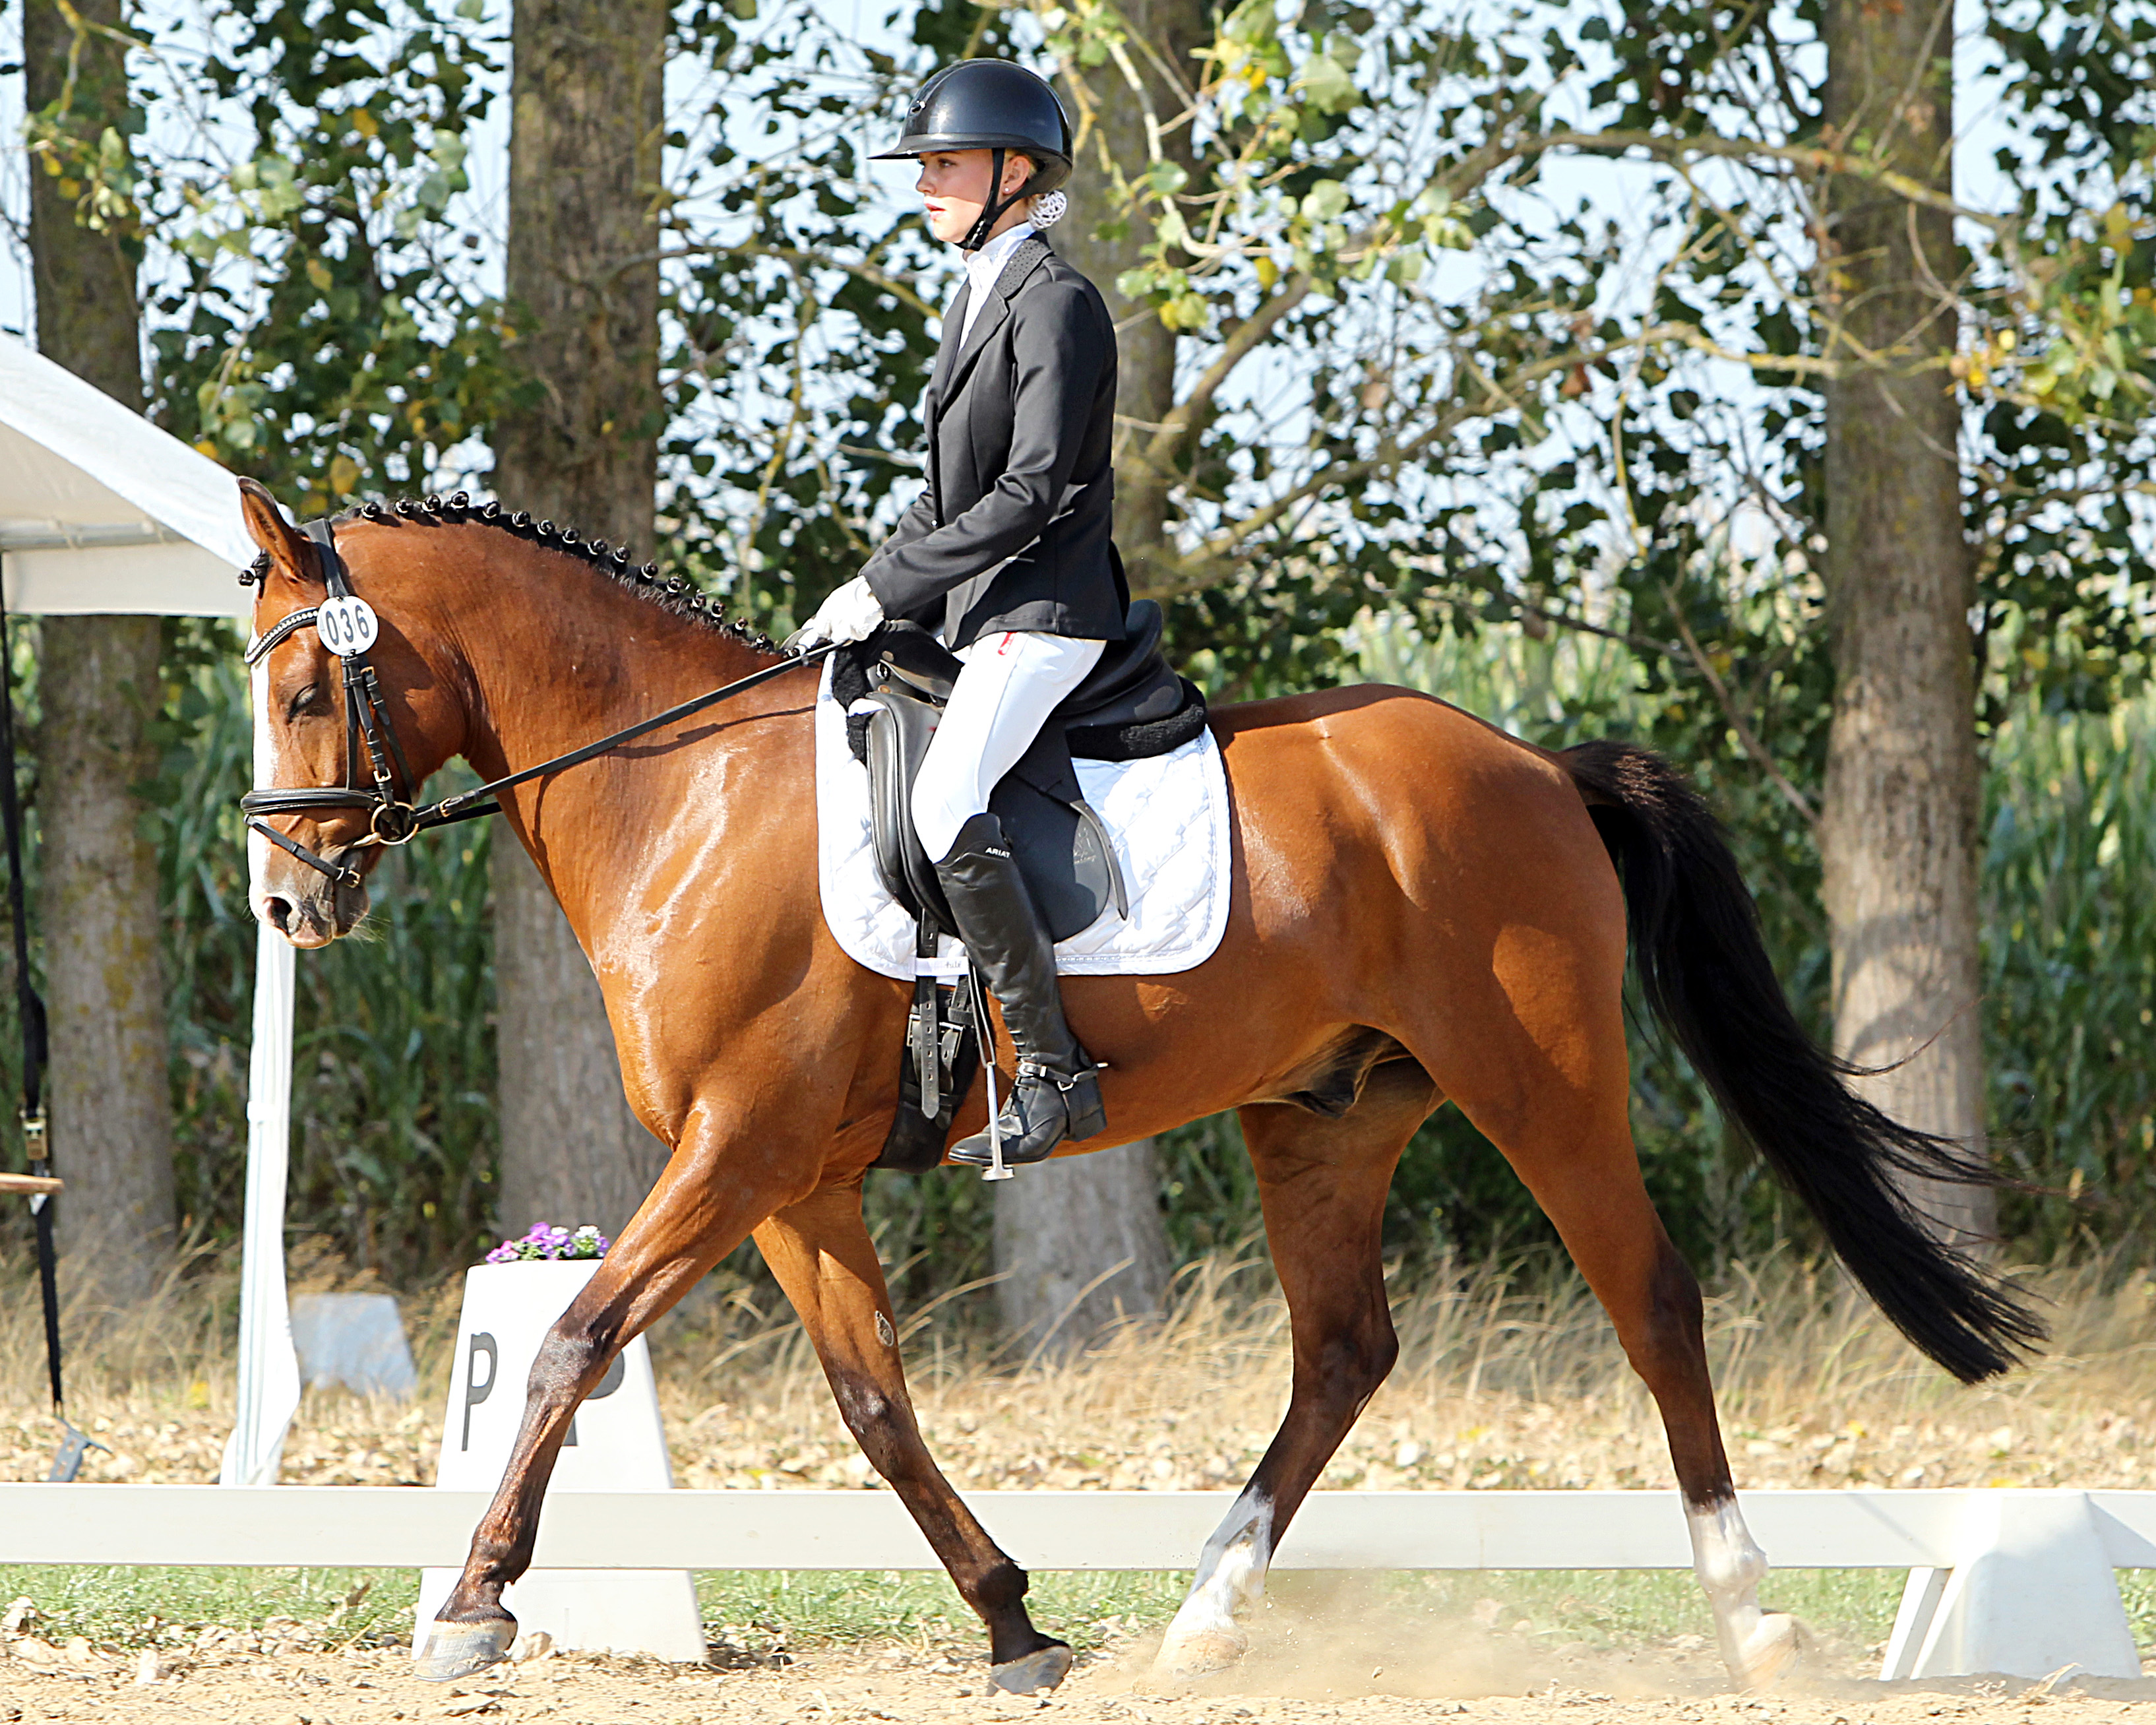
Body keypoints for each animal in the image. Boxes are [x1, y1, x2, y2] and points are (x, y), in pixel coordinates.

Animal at [234, 478, 2038, 1694]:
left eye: (310, 687)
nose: (287, 907)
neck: (679, 789)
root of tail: (1535, 759)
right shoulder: (786, 1175)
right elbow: (876, 1404)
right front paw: (1013, 1618)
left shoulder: (738, 1146)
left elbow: (572, 1341)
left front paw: (473, 1603)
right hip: (1324, 1113)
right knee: (1343, 1350)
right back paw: (1204, 1612)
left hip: (1542, 1081)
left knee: (1651, 1298)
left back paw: (1754, 1614)